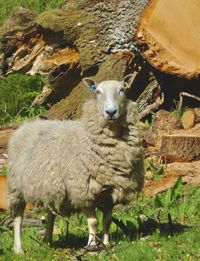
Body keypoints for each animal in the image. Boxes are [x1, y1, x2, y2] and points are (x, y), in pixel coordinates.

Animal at [7, 74, 144, 253]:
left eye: (122, 90)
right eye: (98, 92)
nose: (111, 112)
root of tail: (27, 125)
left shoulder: (112, 191)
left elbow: (107, 220)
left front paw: (106, 244)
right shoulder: (82, 190)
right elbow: (94, 222)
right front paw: (92, 246)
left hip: (50, 185)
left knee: (50, 213)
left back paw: (47, 241)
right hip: (17, 187)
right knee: (18, 217)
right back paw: (18, 249)